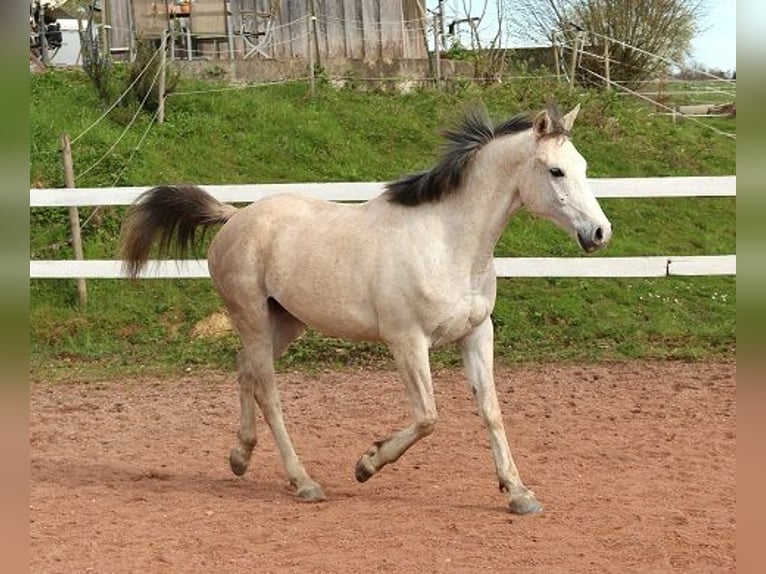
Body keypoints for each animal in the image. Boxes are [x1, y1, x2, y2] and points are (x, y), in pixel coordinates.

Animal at [121, 104, 612, 514]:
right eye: (556, 171)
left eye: (585, 167)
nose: (600, 233)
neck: (448, 242)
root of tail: (234, 217)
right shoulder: (407, 341)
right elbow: (427, 417)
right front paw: (366, 463)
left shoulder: (476, 334)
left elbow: (491, 411)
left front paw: (518, 494)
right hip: (254, 318)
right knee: (268, 391)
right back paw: (304, 483)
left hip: (285, 322)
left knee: (245, 371)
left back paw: (240, 457)